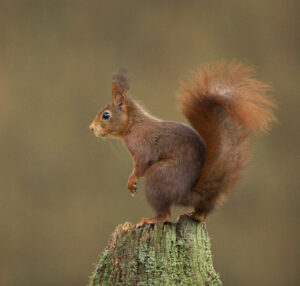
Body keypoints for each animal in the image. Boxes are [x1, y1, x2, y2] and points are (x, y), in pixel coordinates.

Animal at [89, 62, 276, 228]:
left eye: (106, 115)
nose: (91, 128)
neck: (134, 125)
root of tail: (193, 194)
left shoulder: (142, 148)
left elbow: (141, 165)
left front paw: (131, 181)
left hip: (158, 178)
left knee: (165, 214)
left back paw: (151, 219)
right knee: (200, 214)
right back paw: (194, 214)